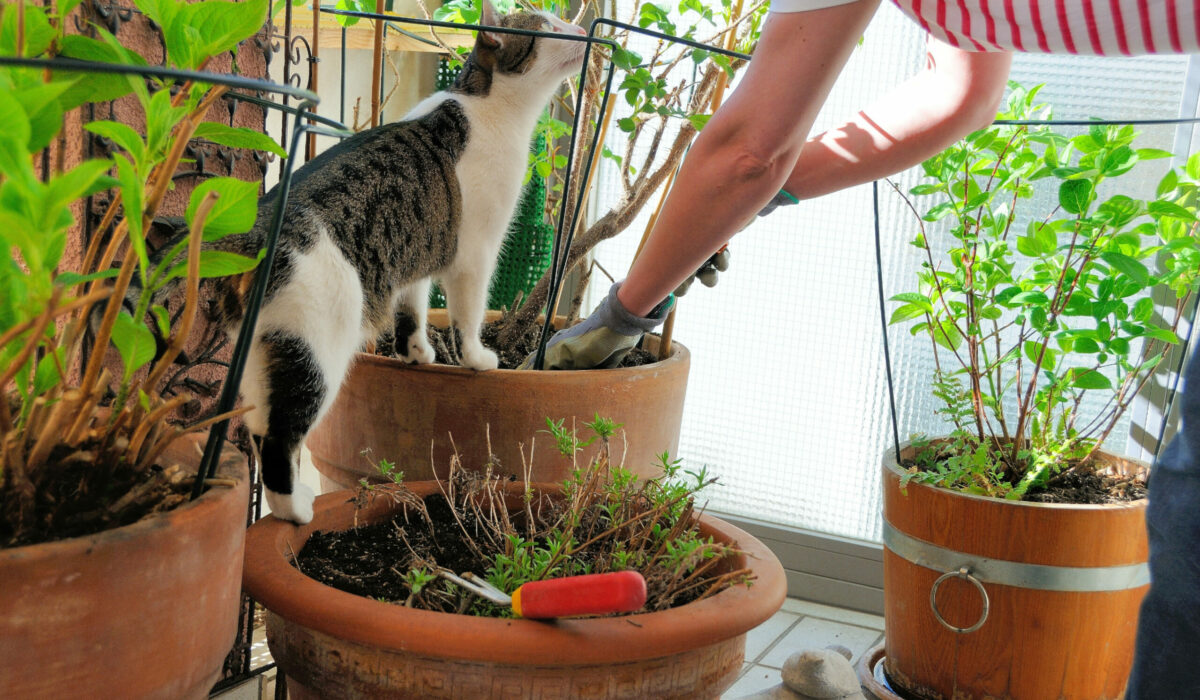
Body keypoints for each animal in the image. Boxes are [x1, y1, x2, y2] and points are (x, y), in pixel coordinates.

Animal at [200, 1, 585, 525]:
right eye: (547, 27)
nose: (580, 31)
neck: (486, 105)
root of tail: (256, 237)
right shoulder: (473, 254)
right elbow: (468, 316)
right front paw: (476, 359)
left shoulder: (416, 249)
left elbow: (413, 307)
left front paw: (416, 351)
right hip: (316, 348)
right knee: (282, 437)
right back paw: (296, 510)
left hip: (264, 351)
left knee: (259, 426)